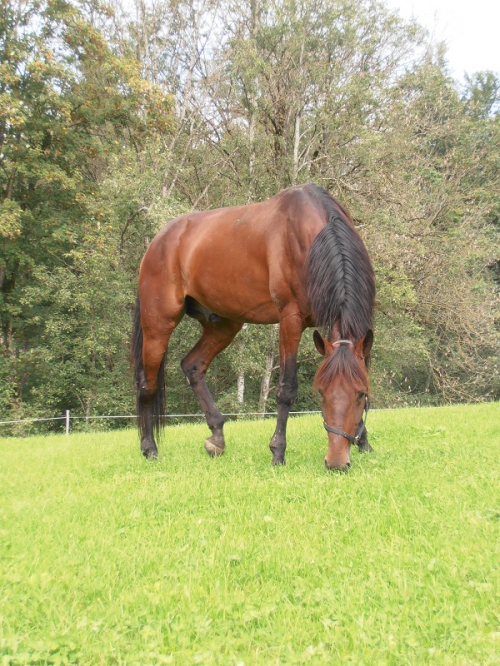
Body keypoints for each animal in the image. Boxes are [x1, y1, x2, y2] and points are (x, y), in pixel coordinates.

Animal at [131, 184, 374, 470]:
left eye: (360, 395)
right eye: (321, 394)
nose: (336, 462)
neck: (315, 238)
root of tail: (158, 241)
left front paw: (364, 443)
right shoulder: (290, 319)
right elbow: (286, 389)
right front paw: (278, 452)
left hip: (224, 325)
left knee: (192, 365)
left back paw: (217, 437)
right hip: (158, 325)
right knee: (147, 384)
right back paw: (149, 448)